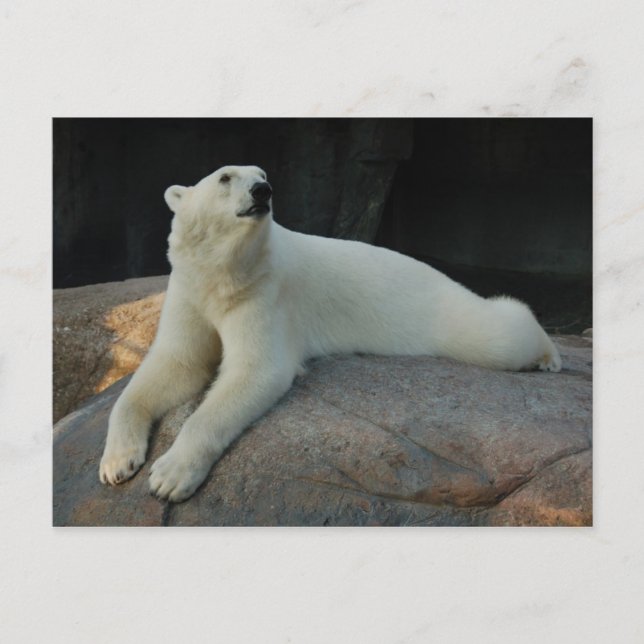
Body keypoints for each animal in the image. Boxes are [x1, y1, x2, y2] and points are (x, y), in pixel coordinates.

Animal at [99, 164, 562, 502]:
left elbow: (255, 371)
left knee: (495, 334)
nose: (263, 191)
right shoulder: (191, 290)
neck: (226, 274)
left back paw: (548, 354)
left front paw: (169, 476)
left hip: (437, 311)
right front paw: (116, 463)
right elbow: (176, 363)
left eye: (262, 173)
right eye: (225, 177)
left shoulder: (266, 291)